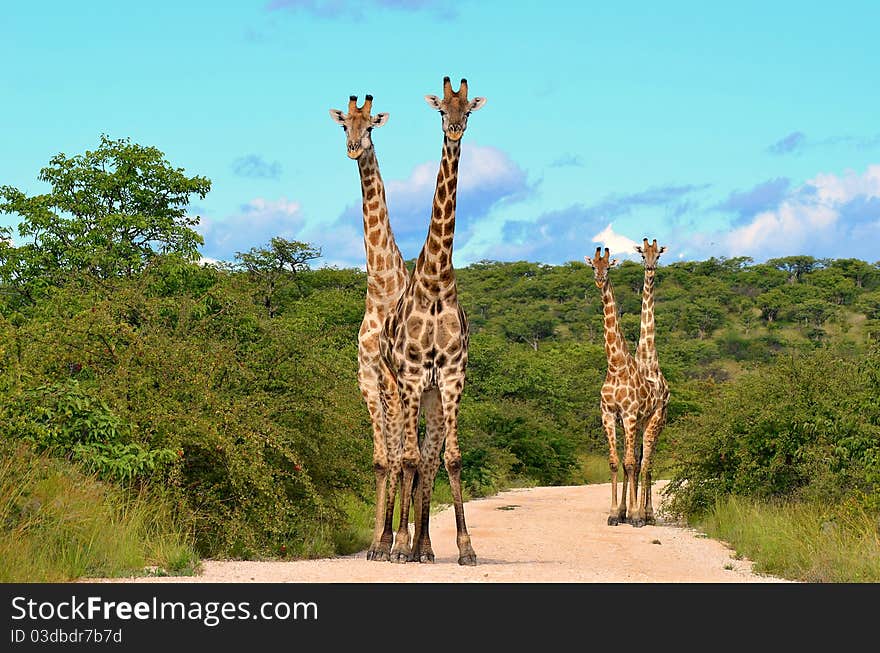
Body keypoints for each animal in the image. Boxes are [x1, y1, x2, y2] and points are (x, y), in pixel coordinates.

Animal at [584, 247, 668, 528]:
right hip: (636, 423)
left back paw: (646, 514)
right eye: (593, 266)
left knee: (647, 462)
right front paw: (615, 513)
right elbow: (615, 462)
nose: (599, 279)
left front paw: (635, 515)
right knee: (639, 461)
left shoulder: (630, 414)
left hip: (655, 421)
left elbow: (631, 463)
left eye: (608, 266)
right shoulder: (609, 414)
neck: (616, 365)